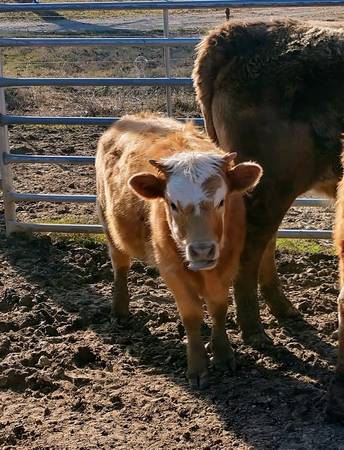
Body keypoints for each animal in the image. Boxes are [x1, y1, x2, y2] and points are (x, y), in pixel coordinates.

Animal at [95, 113, 262, 390]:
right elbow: (191, 315)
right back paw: (119, 310)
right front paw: (197, 366)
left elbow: (218, 308)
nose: (202, 250)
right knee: (120, 264)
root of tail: (131, 117)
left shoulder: (227, 265)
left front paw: (222, 354)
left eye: (221, 201)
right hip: (108, 221)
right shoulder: (172, 272)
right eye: (172, 204)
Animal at [194, 19, 344, 418]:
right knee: (249, 252)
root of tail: (232, 34)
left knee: (264, 244)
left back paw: (284, 310)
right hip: (270, 184)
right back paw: (255, 332)